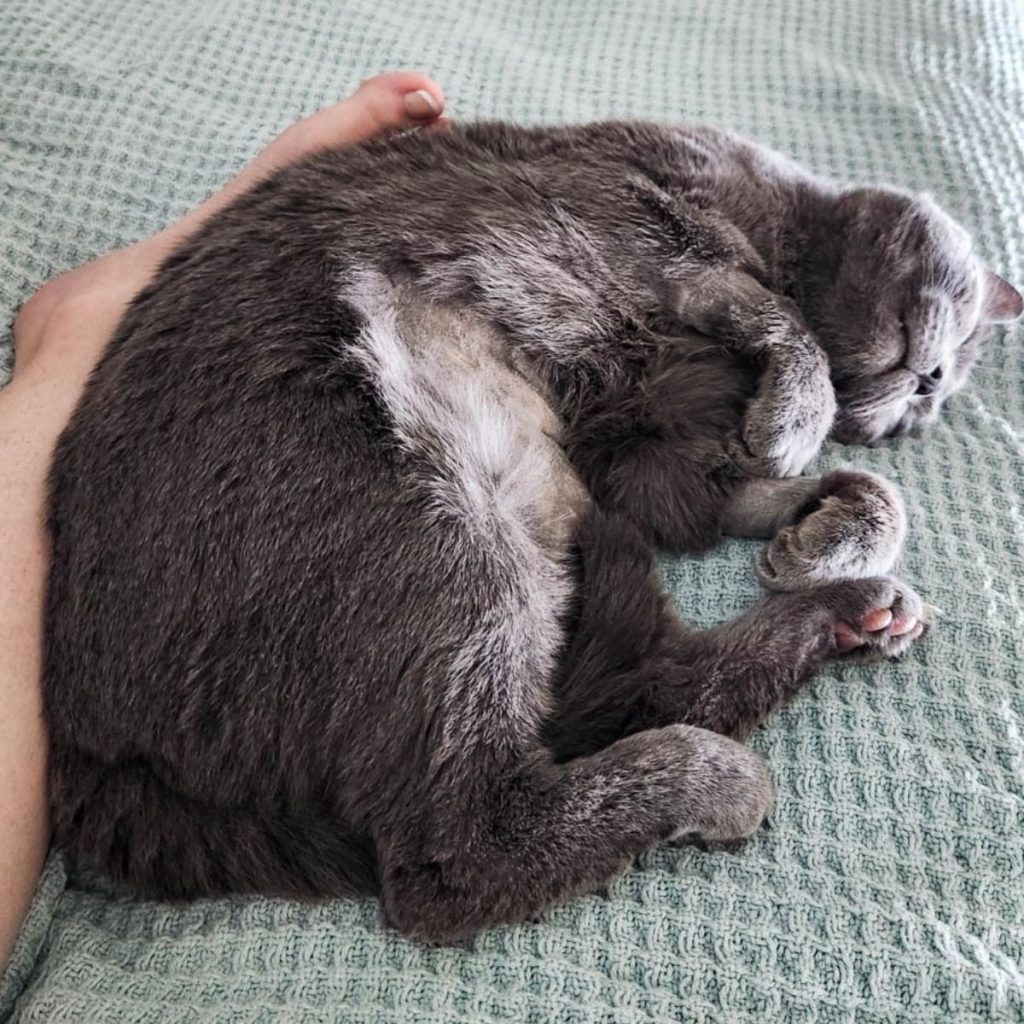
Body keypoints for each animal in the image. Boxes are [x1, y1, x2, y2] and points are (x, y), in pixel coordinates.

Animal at [41, 116, 1024, 937]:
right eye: (959, 332)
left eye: (940, 395)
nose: (930, 384)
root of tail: (96, 766)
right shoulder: (634, 206)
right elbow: (761, 307)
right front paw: (798, 419)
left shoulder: (634, 449)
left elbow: (793, 490)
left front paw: (825, 526)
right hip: (442, 535)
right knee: (454, 857)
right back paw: (714, 778)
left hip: (516, 539)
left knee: (638, 692)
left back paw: (850, 615)